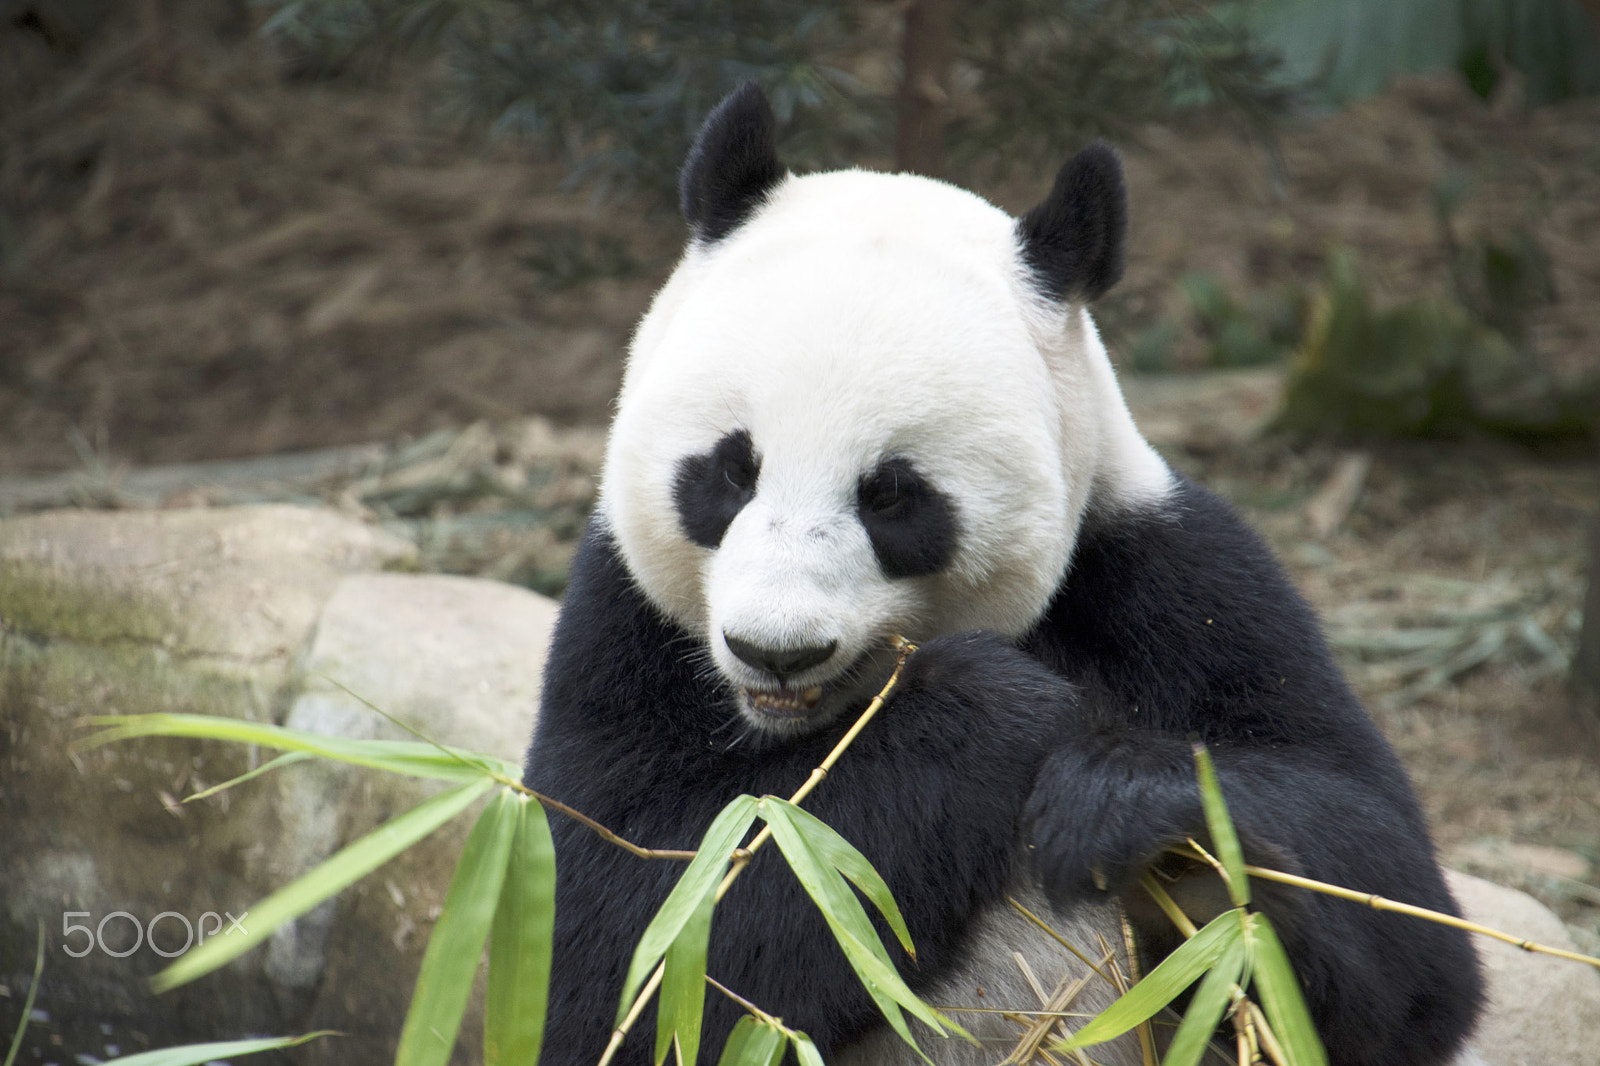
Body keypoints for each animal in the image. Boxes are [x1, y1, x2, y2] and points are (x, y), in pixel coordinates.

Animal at [522, 84, 1484, 1066]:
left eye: (891, 495)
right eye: (730, 470)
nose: (776, 651)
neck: (822, 720)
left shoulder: (1170, 578)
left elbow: (1396, 918)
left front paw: (1117, 799)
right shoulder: (623, 627)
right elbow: (626, 946)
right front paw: (999, 707)